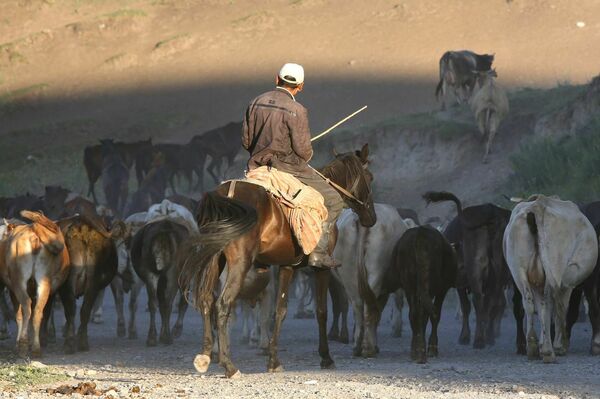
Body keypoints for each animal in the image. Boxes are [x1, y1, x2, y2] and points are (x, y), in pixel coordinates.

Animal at [179, 144, 376, 378]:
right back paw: (229, 365)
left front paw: (274, 361)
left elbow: (280, 311)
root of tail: (225, 194)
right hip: (239, 263)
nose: (371, 217)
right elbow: (321, 311)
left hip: (214, 259)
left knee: (207, 300)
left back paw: (205, 356)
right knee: (223, 303)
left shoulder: (287, 266)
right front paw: (326, 358)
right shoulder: (322, 269)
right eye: (370, 178)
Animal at [330, 205, 410, 358]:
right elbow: (378, 313)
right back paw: (369, 348)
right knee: (370, 309)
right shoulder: (384, 290)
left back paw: (357, 346)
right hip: (377, 270)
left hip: (348, 272)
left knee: (358, 307)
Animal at [504, 195, 596, 364]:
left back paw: (533, 347)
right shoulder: (567, 283)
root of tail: (538, 206)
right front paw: (559, 345)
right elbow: (562, 308)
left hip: (518, 269)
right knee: (549, 304)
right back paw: (549, 351)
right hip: (555, 268)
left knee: (530, 303)